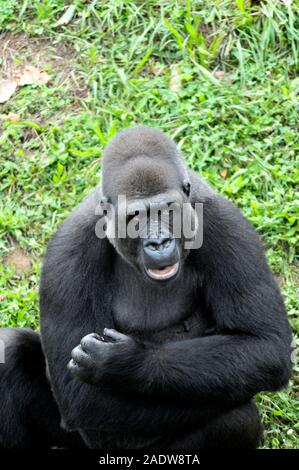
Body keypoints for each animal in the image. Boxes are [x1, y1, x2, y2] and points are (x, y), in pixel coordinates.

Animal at [0, 126, 292, 448]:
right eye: (135, 217)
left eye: (167, 210)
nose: (158, 242)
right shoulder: (69, 249)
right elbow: (83, 396)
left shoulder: (225, 224)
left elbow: (263, 346)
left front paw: (127, 363)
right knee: (9, 351)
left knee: (238, 419)